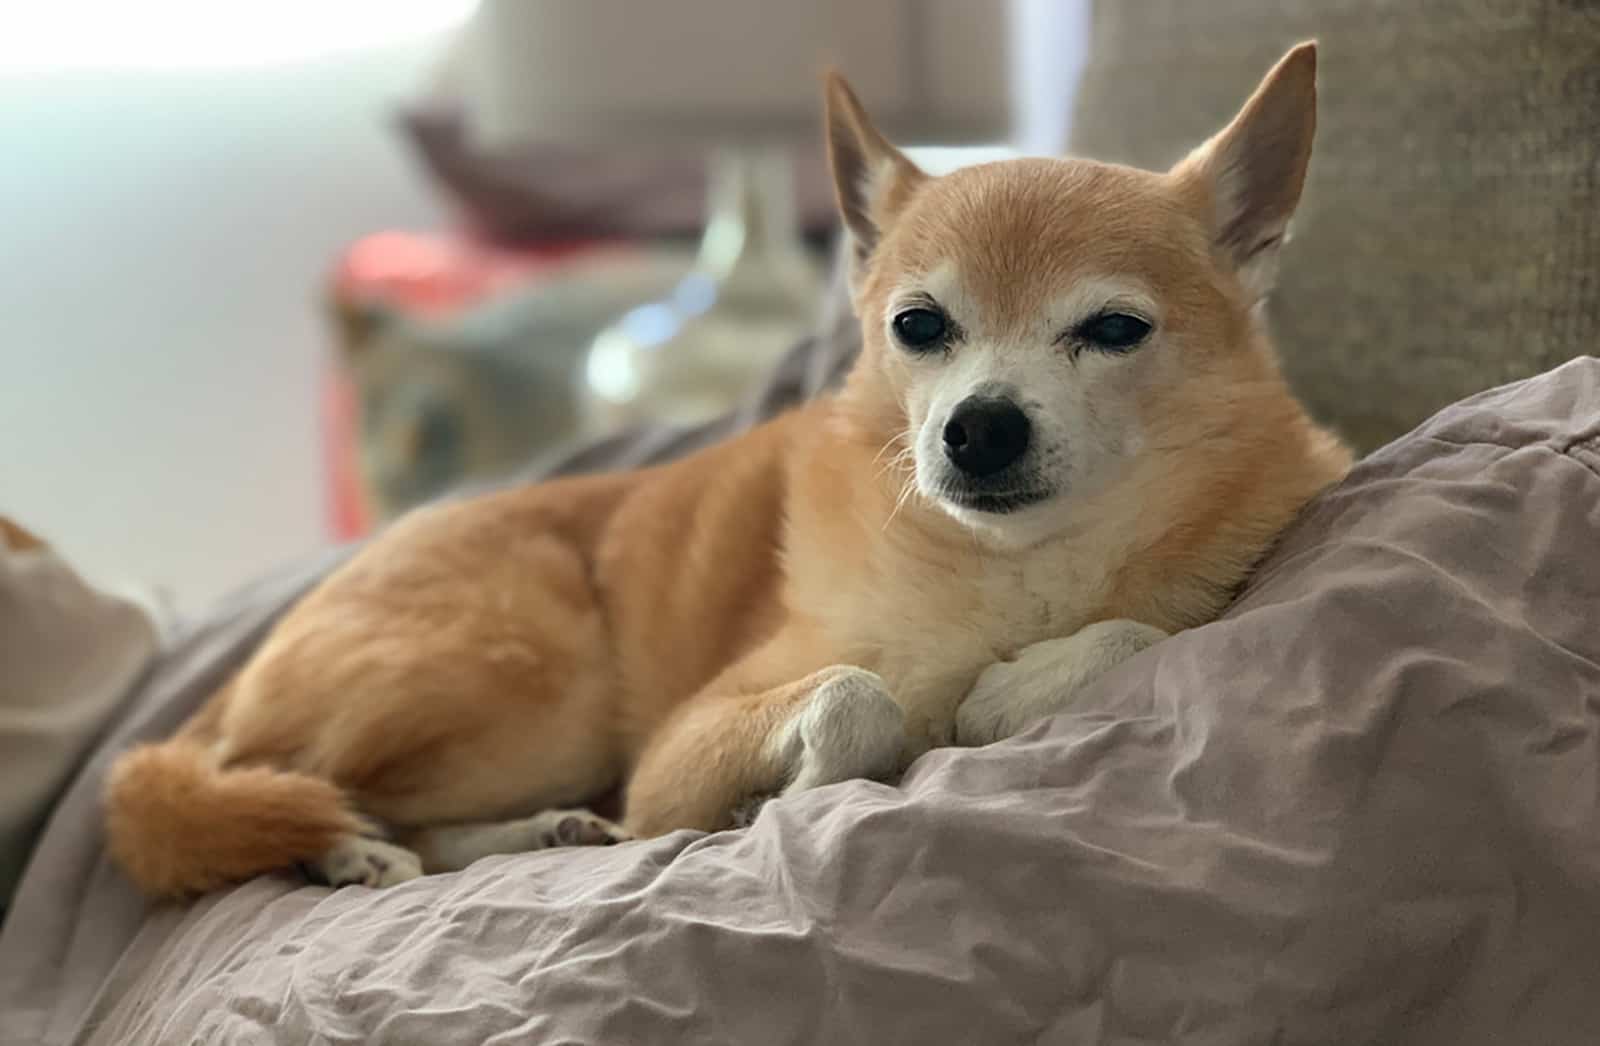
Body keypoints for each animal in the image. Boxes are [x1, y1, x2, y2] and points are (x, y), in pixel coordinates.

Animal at [106, 45, 1344, 902]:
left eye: (1114, 329)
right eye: (919, 325)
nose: (978, 429)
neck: (1010, 570)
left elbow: (1133, 628)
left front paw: (1016, 684)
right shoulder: (676, 749)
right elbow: (854, 695)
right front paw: (781, 794)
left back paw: (533, 832)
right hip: (539, 679)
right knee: (312, 787)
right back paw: (351, 847)